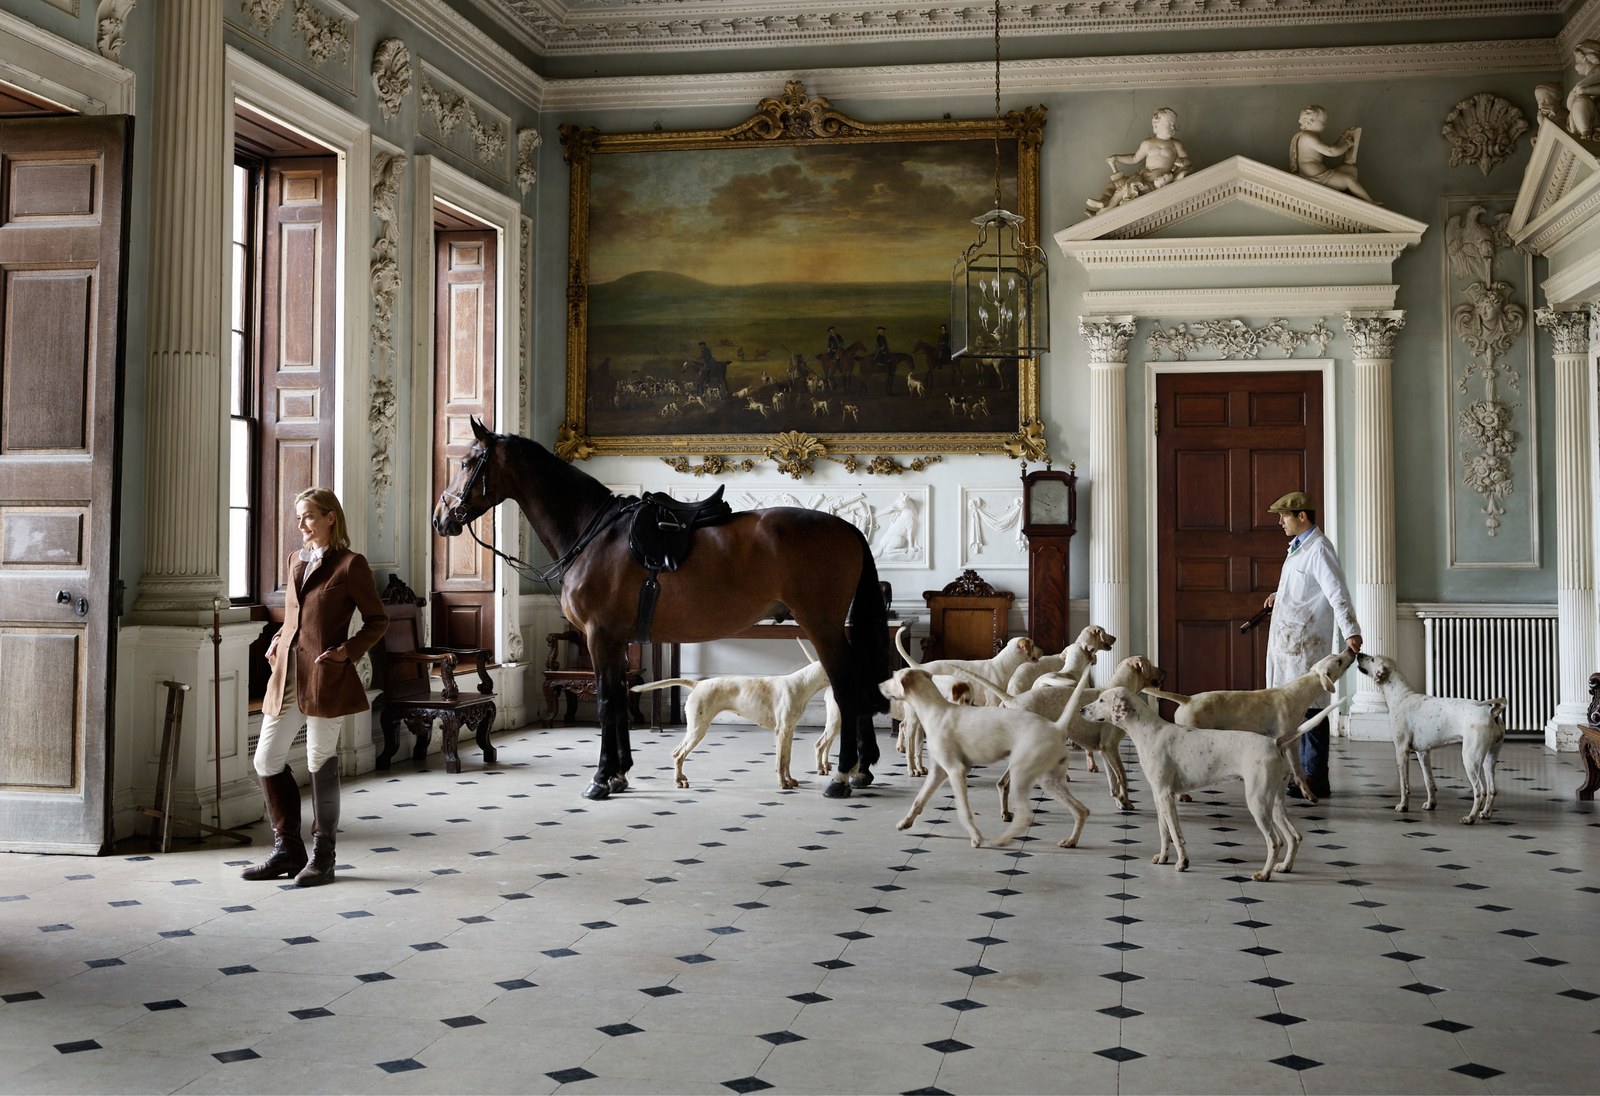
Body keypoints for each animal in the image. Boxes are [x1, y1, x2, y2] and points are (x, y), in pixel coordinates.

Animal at [432, 416, 896, 800]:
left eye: (467, 462)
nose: (441, 517)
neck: (594, 534)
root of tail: (847, 528)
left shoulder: (600, 636)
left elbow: (607, 702)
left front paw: (600, 779)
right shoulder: (617, 641)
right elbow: (619, 701)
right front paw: (619, 773)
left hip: (822, 626)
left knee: (848, 688)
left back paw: (842, 775)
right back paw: (860, 770)